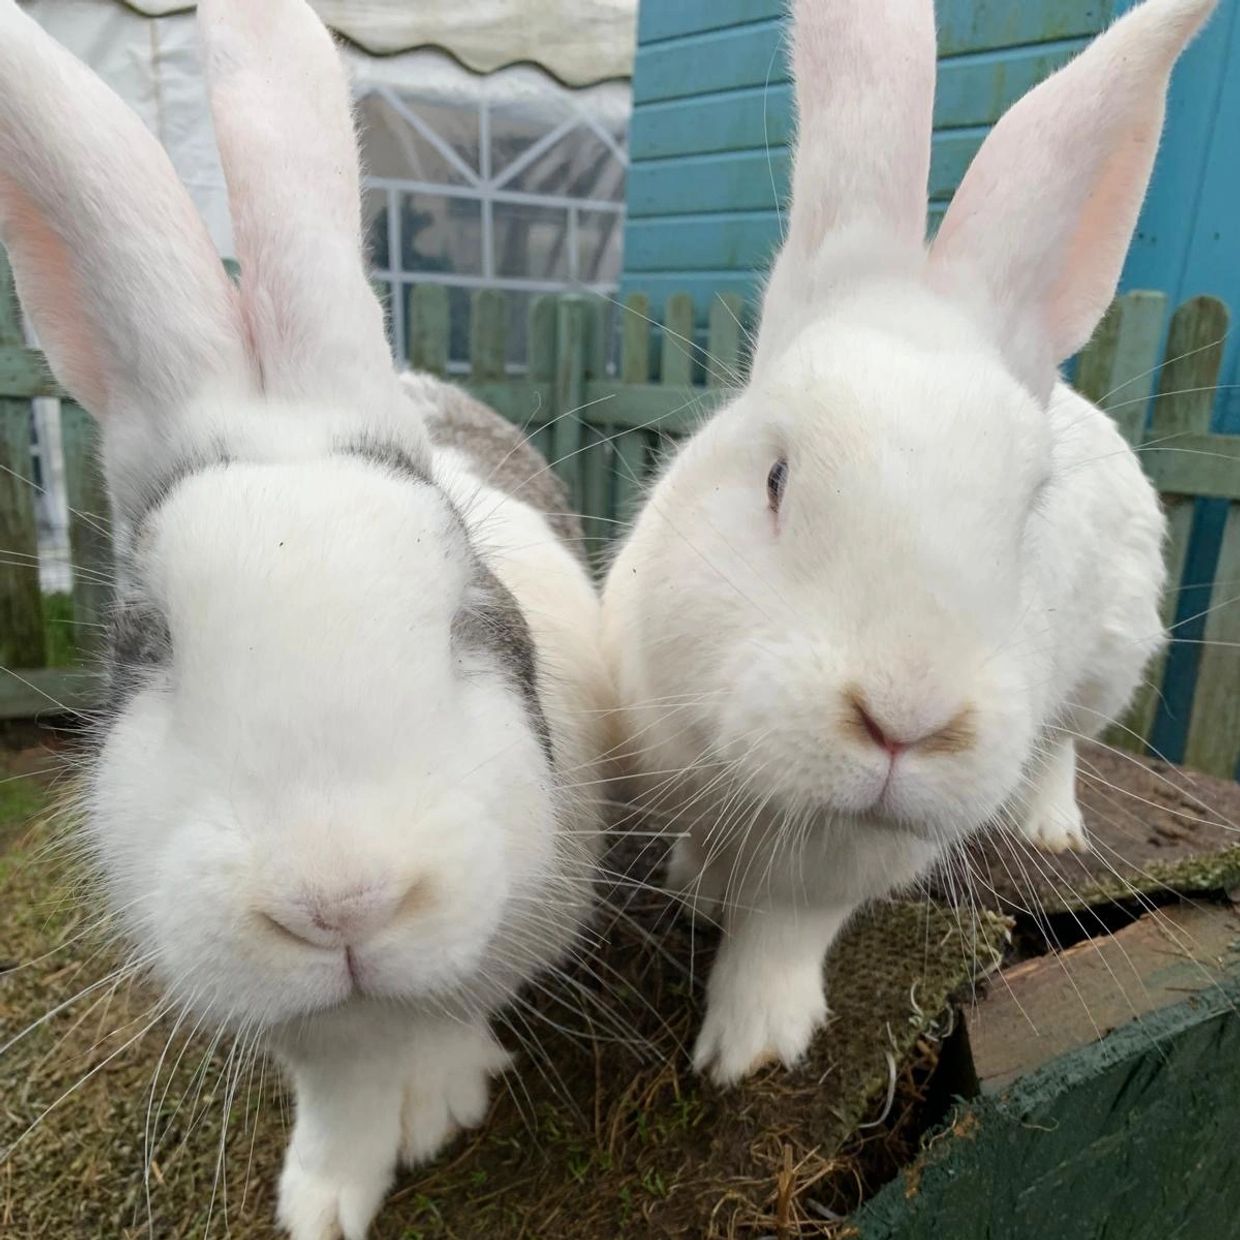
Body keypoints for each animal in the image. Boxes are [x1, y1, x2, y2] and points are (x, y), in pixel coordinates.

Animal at [0, 0, 614, 1236]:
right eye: (149, 645)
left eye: (464, 604)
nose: (340, 904)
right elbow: (337, 1092)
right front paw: (325, 1197)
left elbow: (445, 1019)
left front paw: (444, 1096)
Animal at [602, 0, 1216, 1088]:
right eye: (776, 476)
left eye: (1029, 513)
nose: (905, 719)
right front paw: (697, 894)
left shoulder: (843, 870)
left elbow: (783, 936)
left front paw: (747, 1050)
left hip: (1105, 659)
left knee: (1063, 742)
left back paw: (1048, 826)